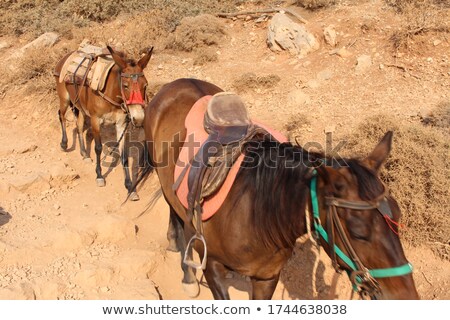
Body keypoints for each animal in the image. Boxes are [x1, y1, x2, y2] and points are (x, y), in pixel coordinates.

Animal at [54, 45, 153, 200]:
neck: (111, 94)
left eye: (145, 85)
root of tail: (65, 57)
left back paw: (84, 153)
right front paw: (99, 176)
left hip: (79, 106)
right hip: (64, 98)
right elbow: (98, 148)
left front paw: (130, 187)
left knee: (79, 126)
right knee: (61, 116)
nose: (138, 118)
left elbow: (124, 155)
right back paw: (64, 144)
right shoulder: (96, 121)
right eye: (125, 85)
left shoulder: (121, 124)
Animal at [140, 78, 418, 300]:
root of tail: (176, 84)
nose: (407, 297)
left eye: (398, 217)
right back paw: (185, 269)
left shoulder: (267, 277)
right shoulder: (213, 269)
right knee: (174, 210)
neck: (254, 213)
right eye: (359, 232)